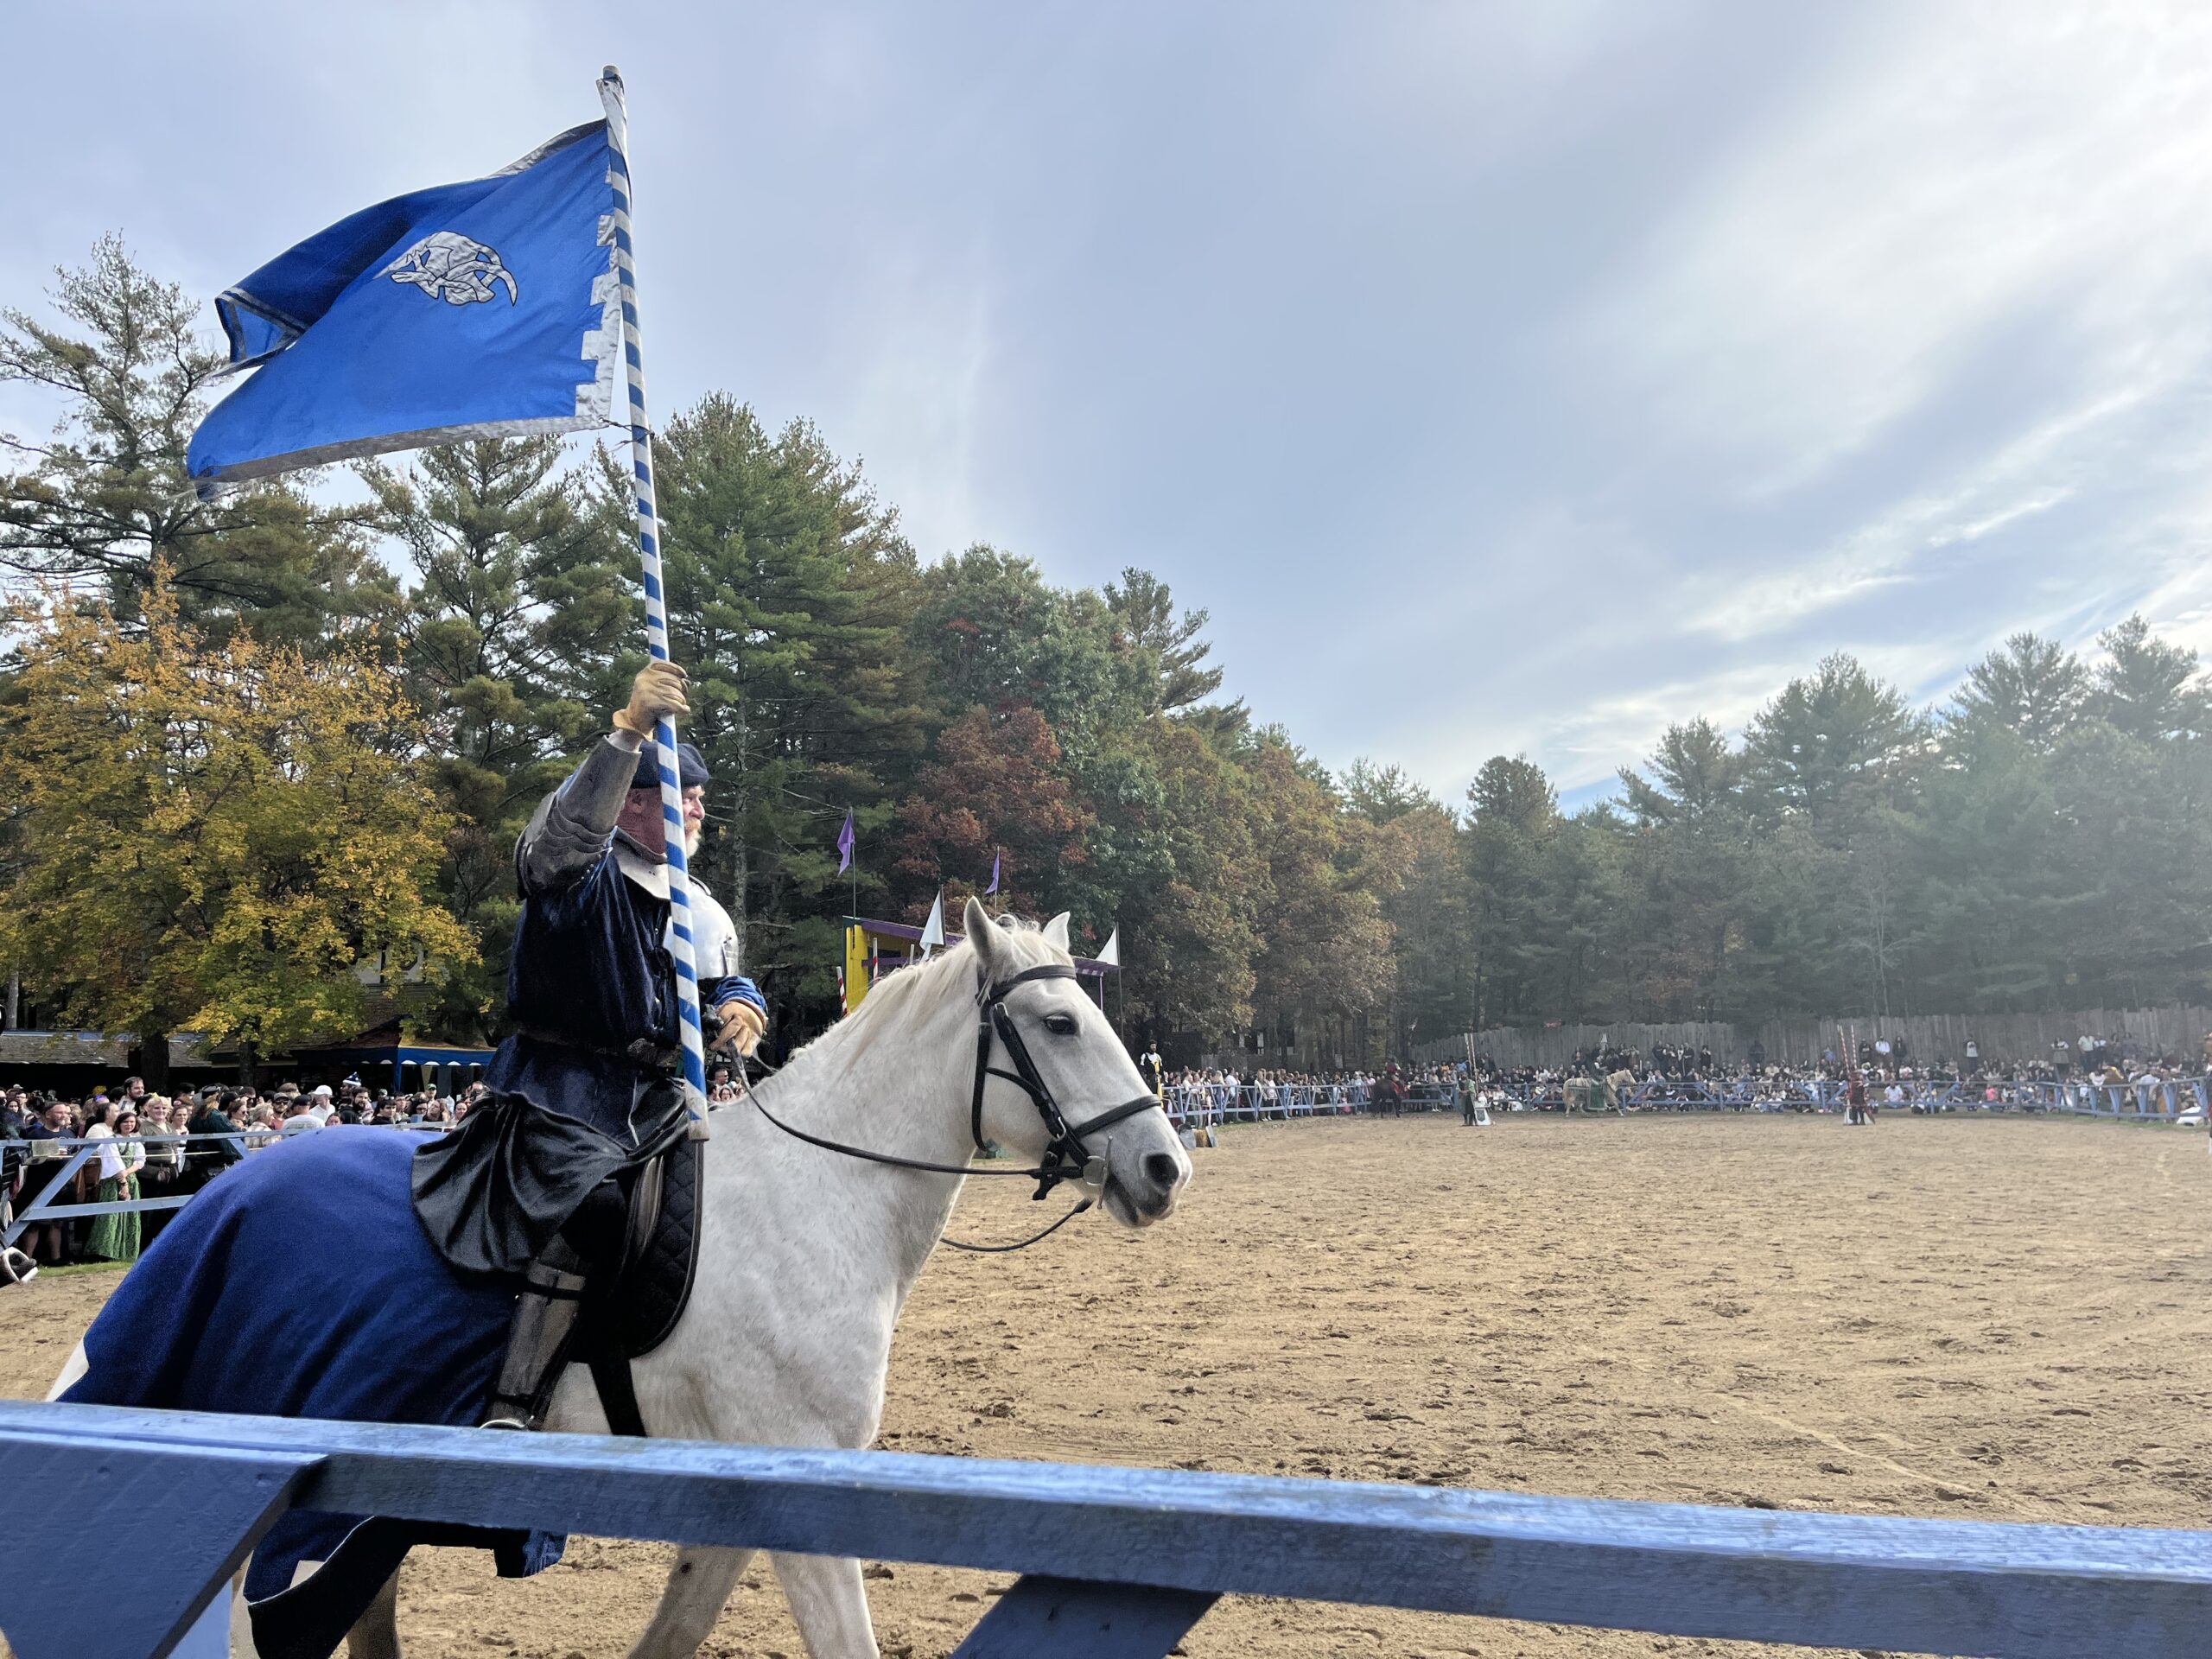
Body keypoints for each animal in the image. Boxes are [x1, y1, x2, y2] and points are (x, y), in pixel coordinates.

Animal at [52, 911, 1194, 1659]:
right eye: (1057, 1027)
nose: (1162, 1168)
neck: (822, 1195)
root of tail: (219, 1196)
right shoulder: (803, 1478)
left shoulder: (744, 1492)